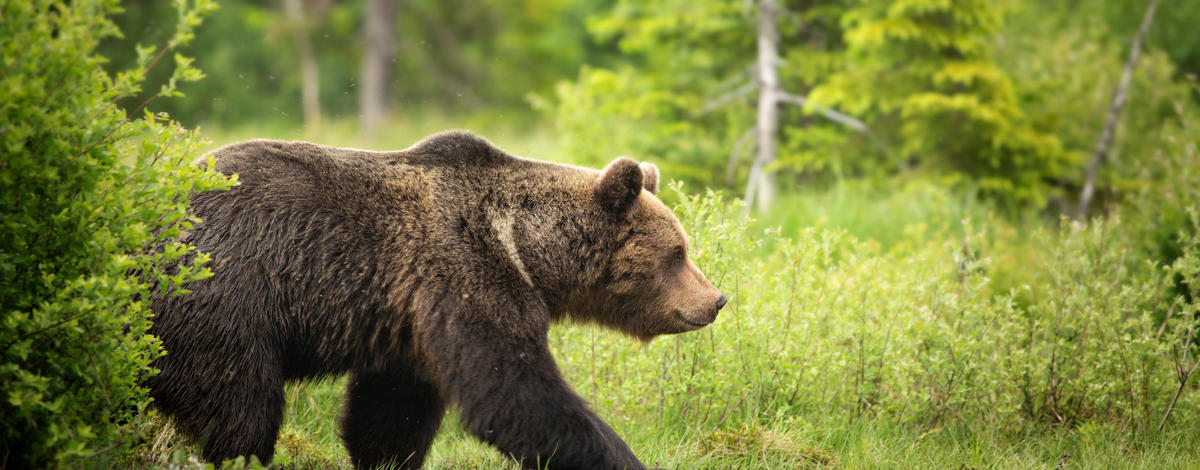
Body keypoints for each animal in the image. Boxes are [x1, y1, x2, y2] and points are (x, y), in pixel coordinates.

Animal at [147, 131, 726, 470]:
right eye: (677, 252)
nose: (716, 299)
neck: (526, 248)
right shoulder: (464, 273)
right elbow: (514, 393)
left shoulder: (410, 320)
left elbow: (391, 412)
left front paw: (386, 458)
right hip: (225, 297)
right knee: (239, 406)